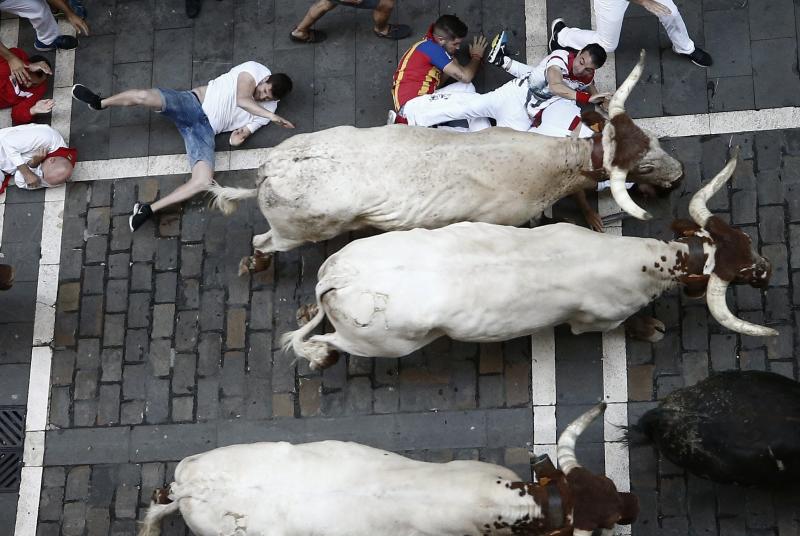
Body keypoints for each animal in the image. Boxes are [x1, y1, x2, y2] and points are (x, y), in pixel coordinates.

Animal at [209, 51, 680, 272]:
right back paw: (256, 264)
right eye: (642, 168)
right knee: (262, 242)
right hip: (294, 232)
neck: (548, 163)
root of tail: (270, 169)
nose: (678, 174)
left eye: (653, 140)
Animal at [282, 151, 776, 368]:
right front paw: (649, 328)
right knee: (329, 342)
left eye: (743, 238)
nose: (766, 271)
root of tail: (340, 277)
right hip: (382, 344)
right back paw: (319, 356)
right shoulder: (595, 321)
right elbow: (622, 325)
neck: (639, 262)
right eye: (738, 271)